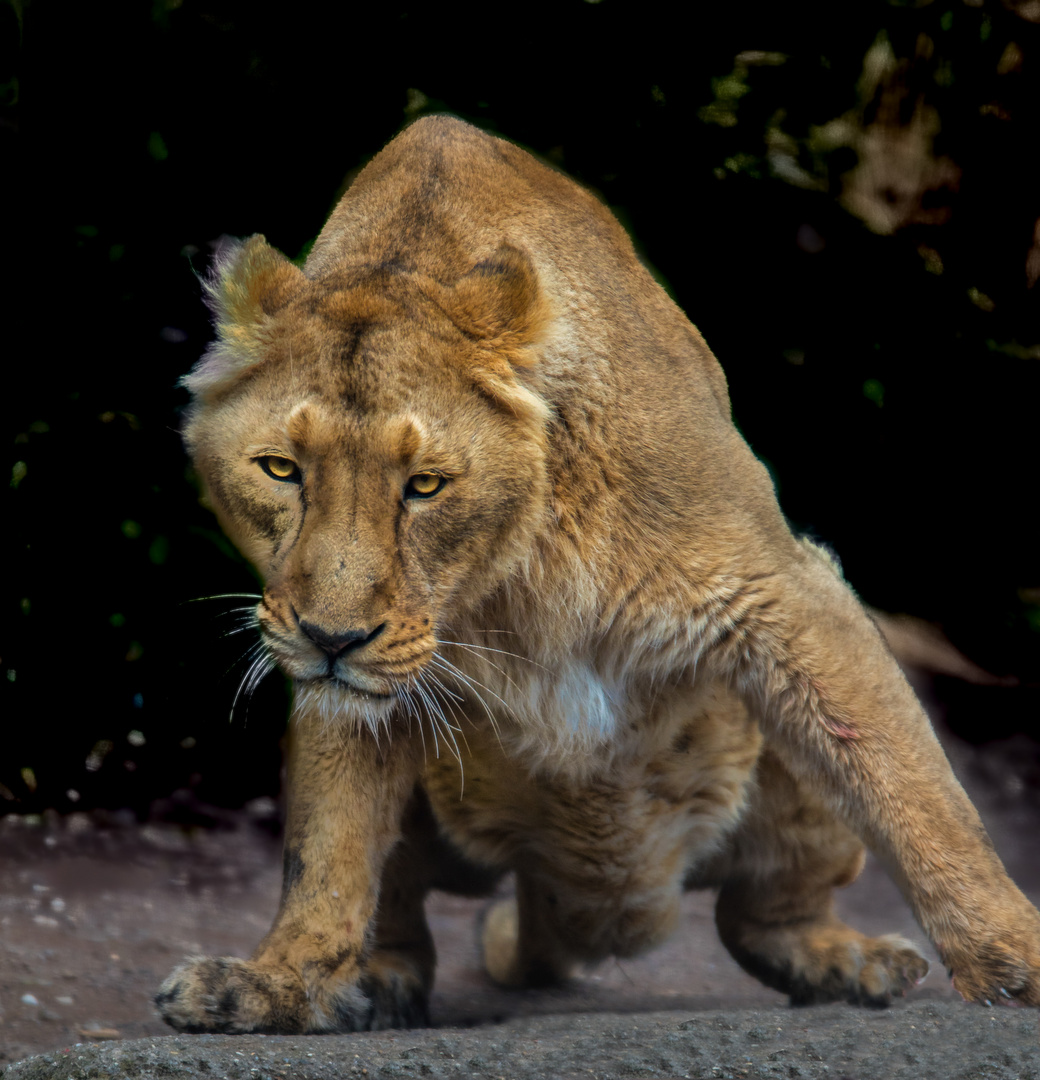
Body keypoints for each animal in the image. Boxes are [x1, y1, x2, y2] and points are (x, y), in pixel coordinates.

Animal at [156, 113, 1040, 1032]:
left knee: (764, 912)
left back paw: (849, 964)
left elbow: (923, 801)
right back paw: (375, 981)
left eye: (425, 485)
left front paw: (1020, 962)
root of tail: (596, 901)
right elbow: (327, 850)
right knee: (404, 908)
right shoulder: (354, 686)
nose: (332, 638)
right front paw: (276, 981)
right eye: (281, 470)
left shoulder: (786, 590)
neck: (508, 573)